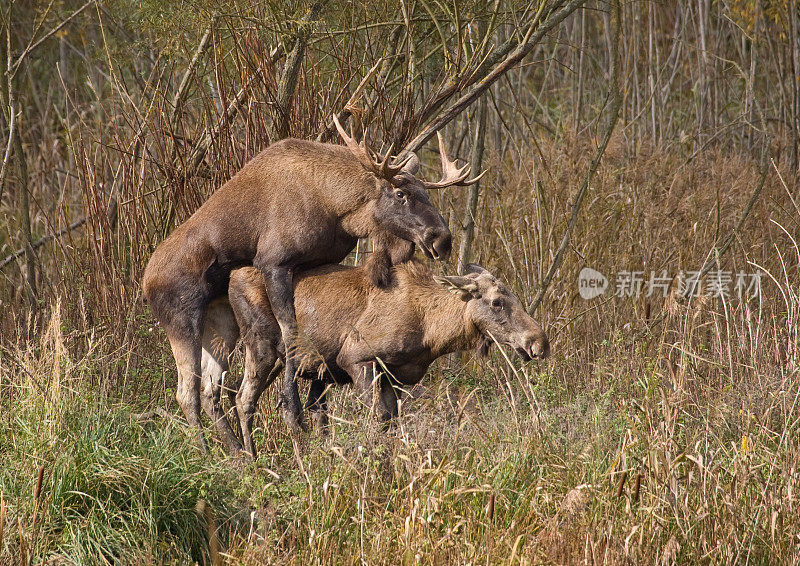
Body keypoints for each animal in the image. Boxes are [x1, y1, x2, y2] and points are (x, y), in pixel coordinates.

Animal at [141, 117, 478, 454]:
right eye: (400, 193)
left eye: (427, 194)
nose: (442, 239)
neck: (338, 210)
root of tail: (144, 283)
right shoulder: (274, 262)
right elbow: (291, 331)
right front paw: (292, 410)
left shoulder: (319, 264)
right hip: (182, 322)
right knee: (187, 393)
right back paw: (208, 451)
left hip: (222, 324)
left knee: (212, 390)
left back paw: (238, 453)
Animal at [202, 262, 552, 462]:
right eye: (497, 302)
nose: (539, 342)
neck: (431, 330)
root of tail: (231, 278)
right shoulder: (359, 359)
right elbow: (374, 422)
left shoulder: (394, 376)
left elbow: (391, 424)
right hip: (262, 346)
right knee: (243, 398)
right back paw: (251, 460)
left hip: (276, 360)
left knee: (230, 394)